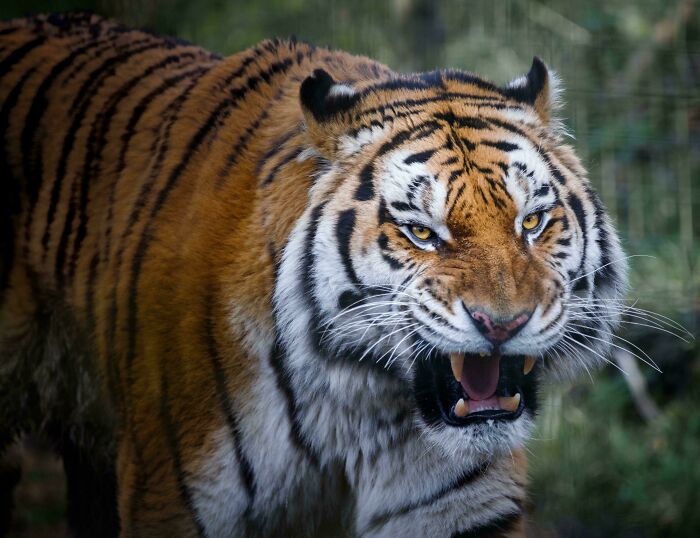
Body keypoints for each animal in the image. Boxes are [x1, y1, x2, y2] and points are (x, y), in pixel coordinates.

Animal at [0, 11, 628, 537]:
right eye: (421, 232)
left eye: (532, 221)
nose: (503, 325)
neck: (358, 401)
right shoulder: (174, 493)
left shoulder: (458, 509)